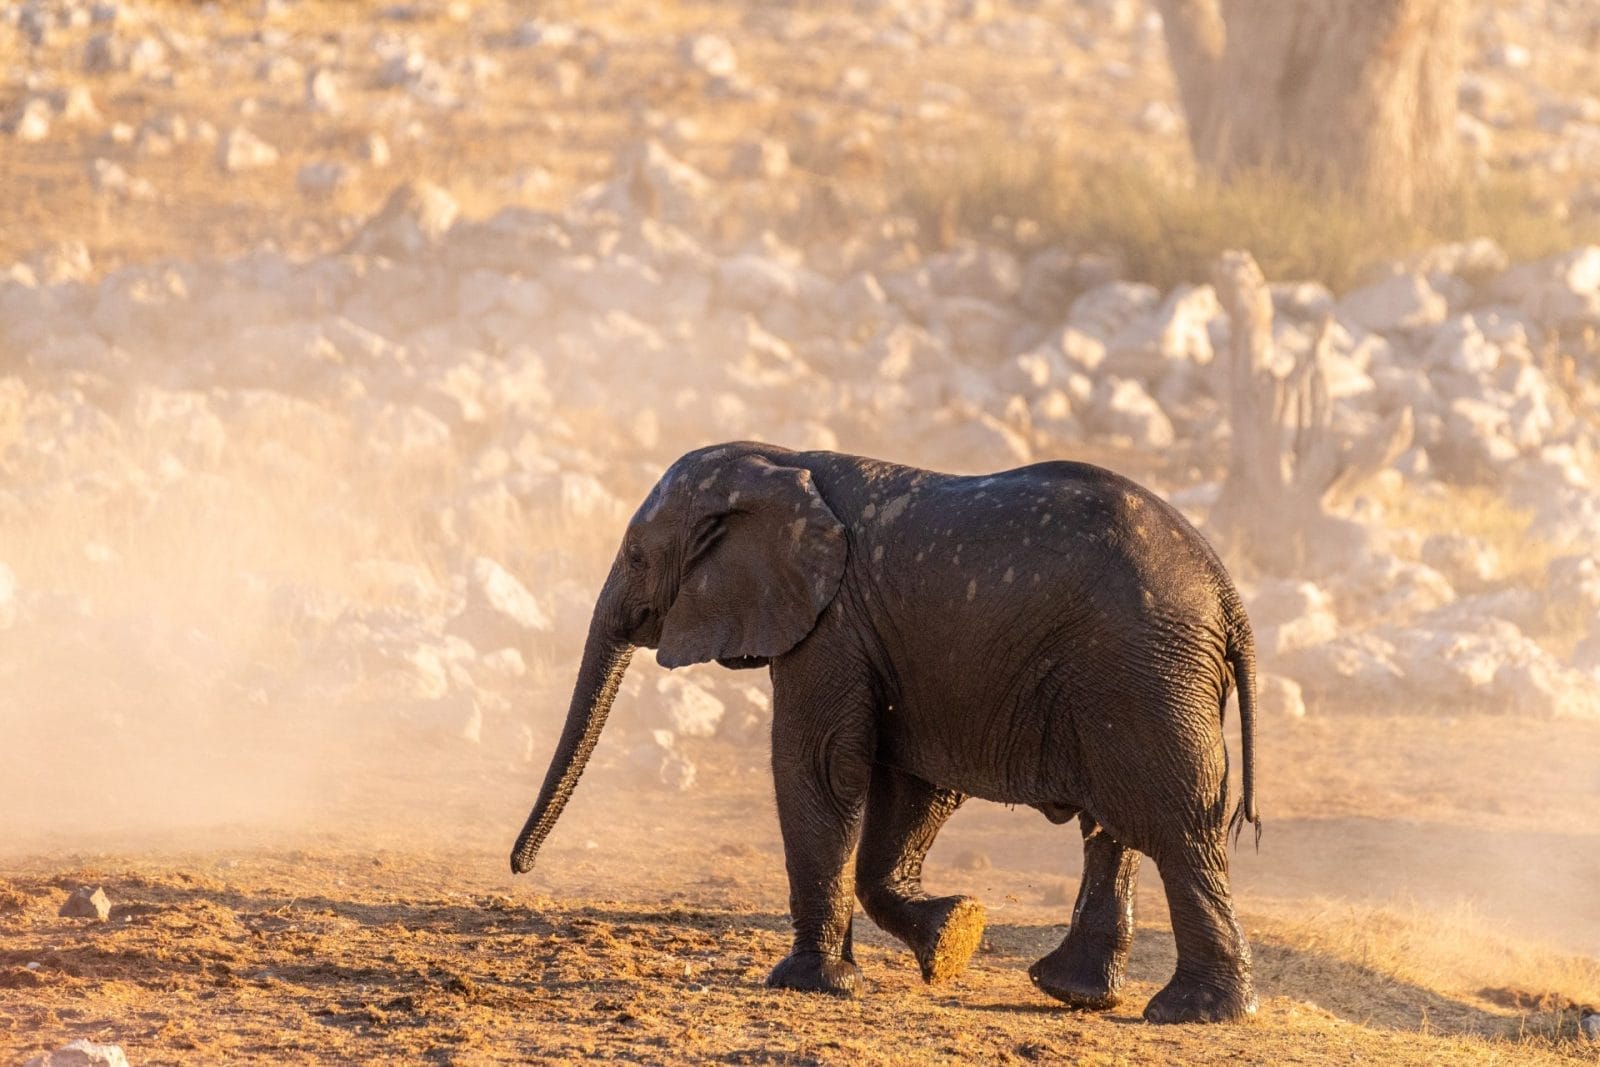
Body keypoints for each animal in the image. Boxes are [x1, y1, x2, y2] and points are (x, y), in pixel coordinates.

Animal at [510, 441, 1261, 1024]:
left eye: (637, 556)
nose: (521, 868)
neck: (779, 461)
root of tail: (1229, 597)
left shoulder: (832, 624)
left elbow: (819, 766)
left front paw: (808, 984)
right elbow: (909, 786)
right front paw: (953, 936)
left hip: (1143, 676)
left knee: (1177, 827)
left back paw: (1194, 1012)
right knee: (1117, 826)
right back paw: (1076, 993)